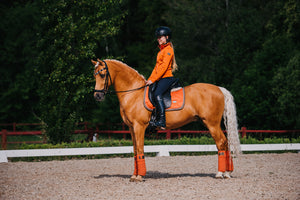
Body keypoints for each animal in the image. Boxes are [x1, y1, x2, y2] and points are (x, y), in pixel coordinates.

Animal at [91, 57, 241, 181]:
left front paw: (139, 176)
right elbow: (134, 151)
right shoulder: (131, 128)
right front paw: (134, 175)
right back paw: (227, 173)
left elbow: (139, 150)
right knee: (225, 142)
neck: (133, 93)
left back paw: (220, 173)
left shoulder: (139, 126)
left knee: (221, 143)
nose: (97, 96)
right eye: (94, 75)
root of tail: (219, 89)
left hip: (212, 124)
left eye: (102, 74)